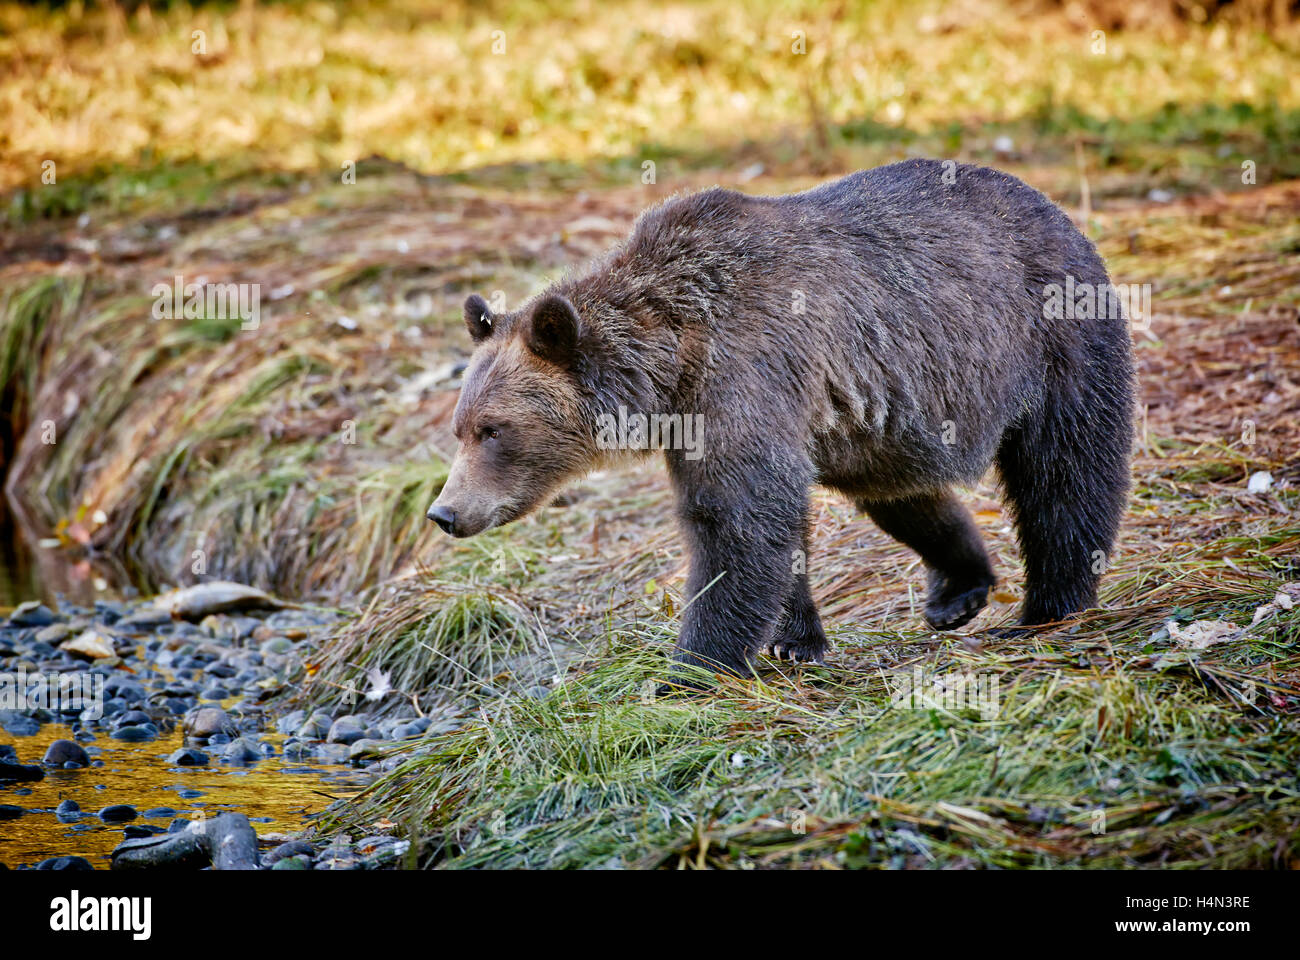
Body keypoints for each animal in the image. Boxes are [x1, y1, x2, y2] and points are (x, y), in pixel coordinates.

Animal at [431, 158, 1133, 681]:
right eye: (460, 429)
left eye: (494, 430)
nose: (444, 512)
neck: (670, 364)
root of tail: (1055, 208)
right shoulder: (714, 418)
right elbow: (772, 521)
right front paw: (793, 640)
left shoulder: (743, 377)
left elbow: (738, 523)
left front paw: (690, 668)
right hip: (885, 419)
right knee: (903, 491)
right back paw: (957, 589)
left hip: (1052, 339)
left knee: (1067, 471)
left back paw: (1051, 604)